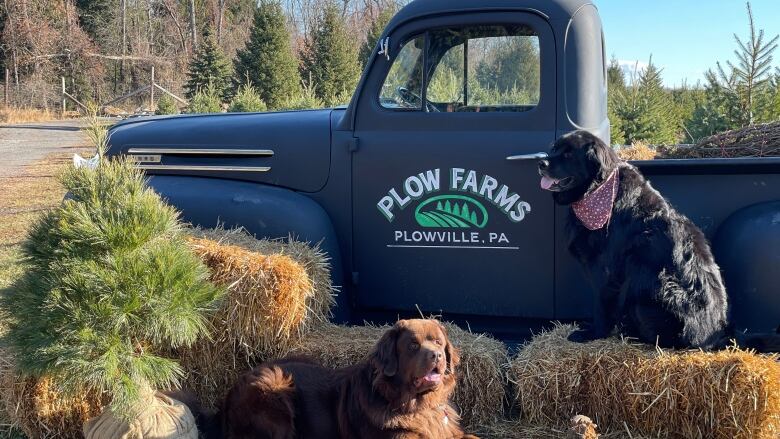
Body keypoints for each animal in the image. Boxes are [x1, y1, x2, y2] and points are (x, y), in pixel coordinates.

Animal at [540, 130, 776, 350]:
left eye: (569, 154)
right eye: (553, 149)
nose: (541, 163)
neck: (599, 191)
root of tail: (721, 332)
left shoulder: (605, 269)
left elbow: (600, 305)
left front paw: (593, 333)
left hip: (648, 276)